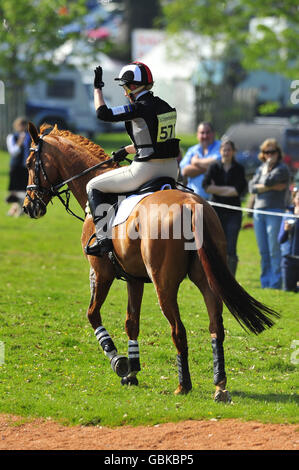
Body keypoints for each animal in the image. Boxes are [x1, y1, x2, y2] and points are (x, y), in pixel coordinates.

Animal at [24, 123, 282, 402]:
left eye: (29, 163)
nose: (28, 207)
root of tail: (190, 204)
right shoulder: (134, 279)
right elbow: (131, 322)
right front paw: (132, 372)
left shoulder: (100, 273)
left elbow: (93, 314)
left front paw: (119, 363)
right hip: (206, 280)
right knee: (216, 327)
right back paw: (219, 386)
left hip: (163, 285)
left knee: (178, 330)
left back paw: (183, 385)